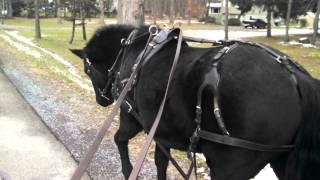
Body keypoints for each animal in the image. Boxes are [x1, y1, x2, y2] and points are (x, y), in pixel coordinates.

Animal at [71, 24, 320, 180]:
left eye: (87, 69)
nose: (102, 100)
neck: (133, 53)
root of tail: (295, 77)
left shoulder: (131, 116)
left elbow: (119, 139)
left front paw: (128, 170)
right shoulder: (162, 130)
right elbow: (161, 161)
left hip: (230, 166)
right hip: (282, 161)